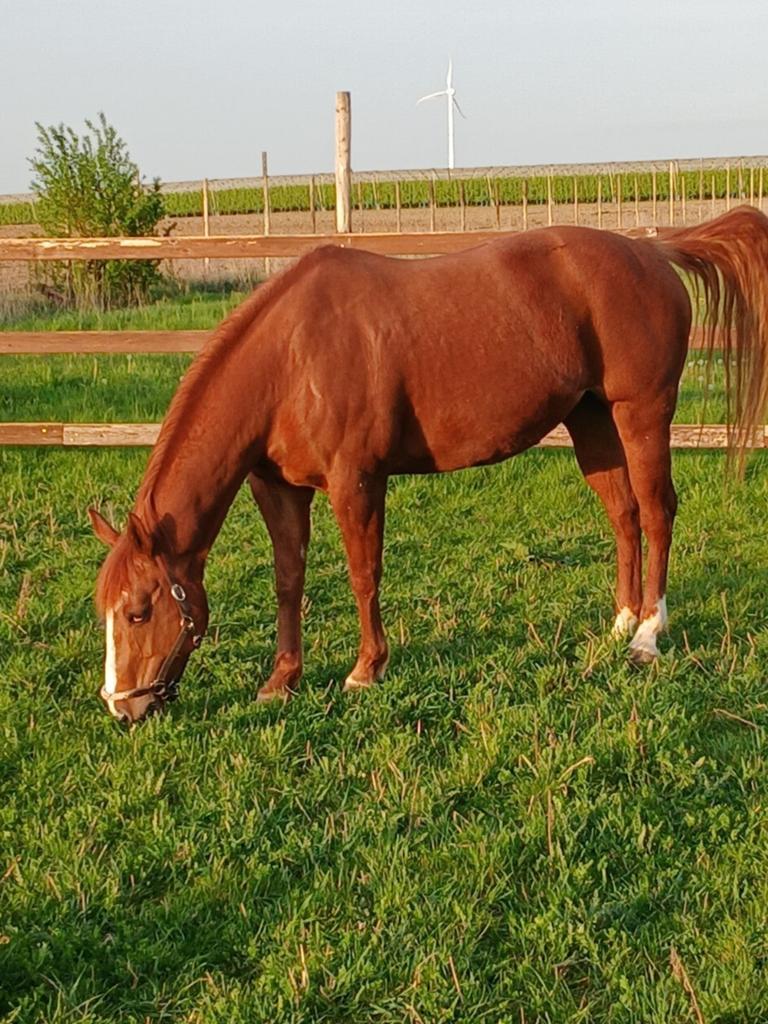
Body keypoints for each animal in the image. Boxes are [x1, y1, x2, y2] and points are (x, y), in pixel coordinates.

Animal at [90, 205, 768, 723]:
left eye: (139, 609)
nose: (122, 707)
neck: (291, 359)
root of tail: (651, 251)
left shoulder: (356, 482)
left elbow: (364, 574)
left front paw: (366, 670)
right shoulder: (278, 489)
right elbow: (289, 581)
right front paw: (281, 680)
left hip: (641, 414)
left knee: (656, 512)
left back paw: (649, 636)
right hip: (592, 420)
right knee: (624, 514)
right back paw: (620, 623)